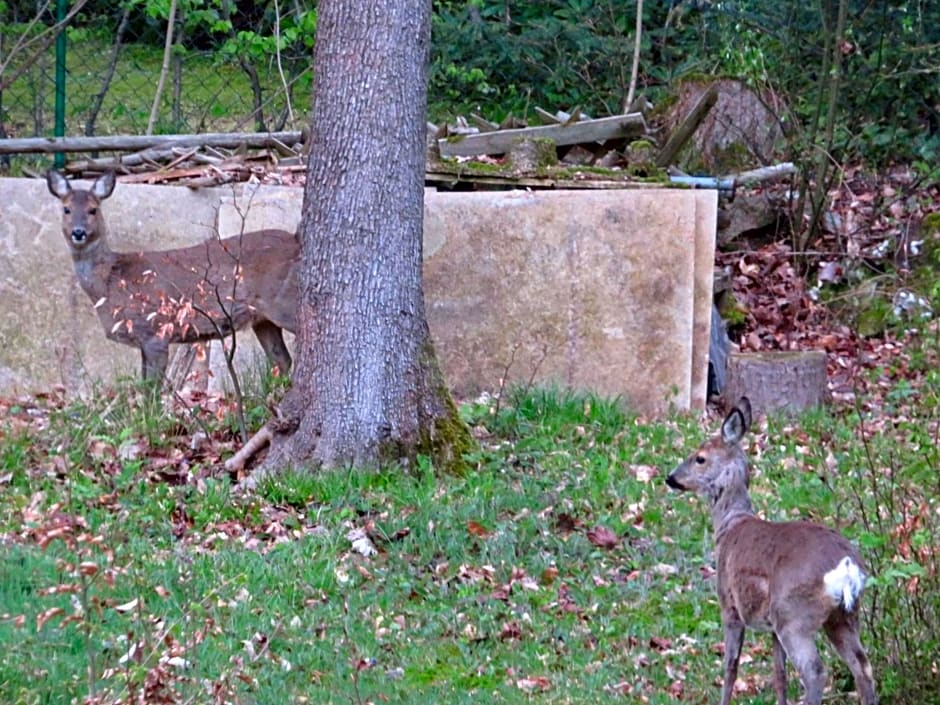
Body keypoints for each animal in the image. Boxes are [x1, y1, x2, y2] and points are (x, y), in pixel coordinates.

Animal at [46, 168, 300, 382]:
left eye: (93, 209)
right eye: (66, 209)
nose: (79, 232)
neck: (111, 281)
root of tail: (296, 240)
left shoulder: (155, 330)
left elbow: (152, 389)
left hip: (284, 300)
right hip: (263, 319)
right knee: (282, 360)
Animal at [664, 396, 876, 704]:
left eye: (700, 457)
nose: (671, 477)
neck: (730, 525)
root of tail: (846, 566)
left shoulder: (729, 603)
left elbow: (731, 666)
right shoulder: (772, 628)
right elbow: (779, 673)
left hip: (793, 613)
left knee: (815, 671)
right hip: (844, 615)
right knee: (863, 666)